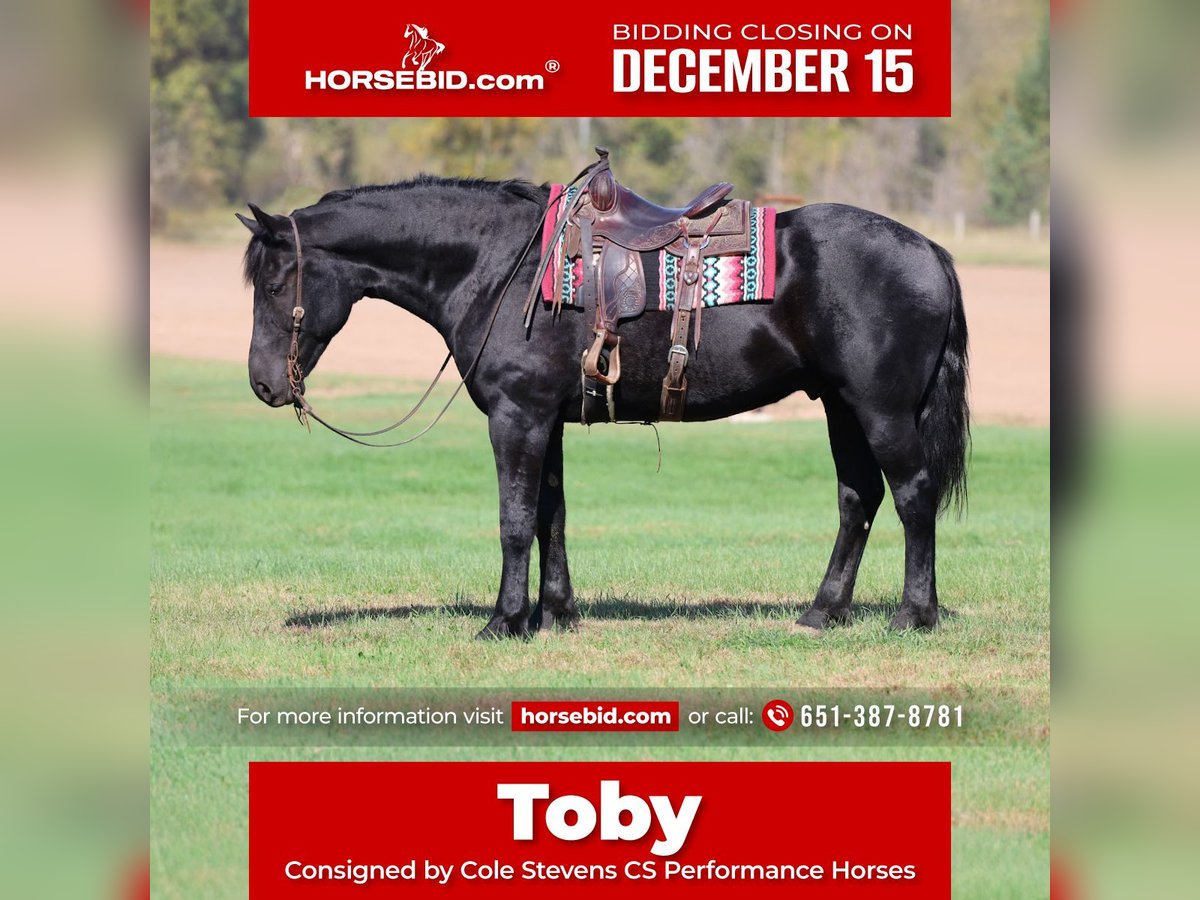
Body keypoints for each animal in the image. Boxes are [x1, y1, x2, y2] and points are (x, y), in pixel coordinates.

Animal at [237, 173, 969, 640]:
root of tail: (928, 249)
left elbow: (514, 520)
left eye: (273, 284)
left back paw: (914, 614)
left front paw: (504, 621)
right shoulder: (546, 419)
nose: (265, 385)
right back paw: (823, 612)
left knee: (912, 494)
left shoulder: (517, 416)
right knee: (857, 499)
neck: (499, 266)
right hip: (841, 407)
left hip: (880, 410)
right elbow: (550, 517)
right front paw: (555, 613)